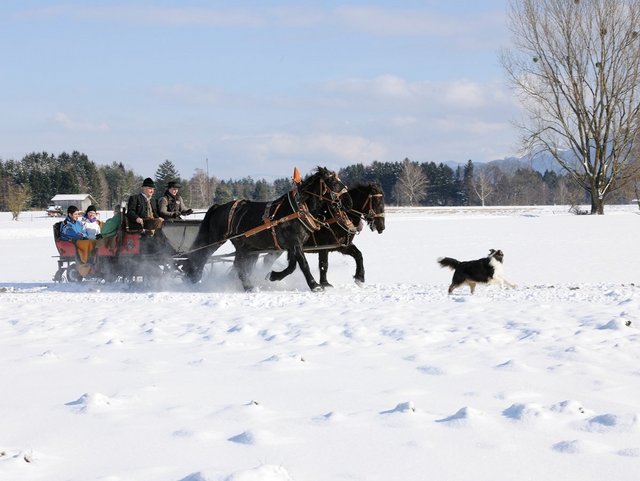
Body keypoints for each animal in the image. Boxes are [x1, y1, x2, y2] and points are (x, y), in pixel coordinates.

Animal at [182, 167, 352, 290]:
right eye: (333, 181)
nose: (348, 201)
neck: (298, 209)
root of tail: (219, 207)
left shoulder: (292, 246)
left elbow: (292, 266)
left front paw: (273, 276)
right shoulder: (295, 243)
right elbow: (303, 264)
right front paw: (314, 285)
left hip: (246, 246)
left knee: (238, 266)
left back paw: (246, 285)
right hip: (218, 239)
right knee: (203, 256)